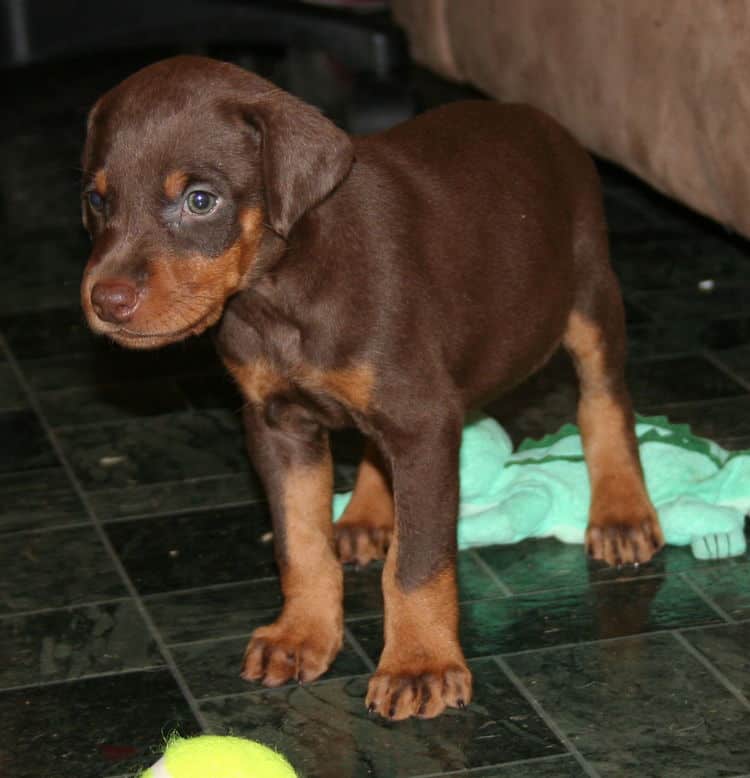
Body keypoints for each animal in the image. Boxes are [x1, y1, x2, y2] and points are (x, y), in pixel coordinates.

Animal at [79, 56, 664, 720]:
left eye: (201, 200)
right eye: (95, 199)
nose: (106, 301)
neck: (281, 292)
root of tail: (537, 118)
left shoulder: (425, 423)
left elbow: (416, 564)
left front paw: (420, 664)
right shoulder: (276, 423)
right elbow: (300, 542)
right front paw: (302, 634)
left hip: (590, 293)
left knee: (604, 401)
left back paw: (621, 510)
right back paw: (365, 515)